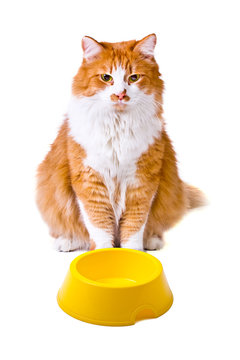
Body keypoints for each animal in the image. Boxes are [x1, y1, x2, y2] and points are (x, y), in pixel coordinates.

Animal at [35, 35, 204, 252]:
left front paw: (134, 253)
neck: (117, 127)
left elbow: (134, 227)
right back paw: (66, 241)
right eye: (106, 78)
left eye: (134, 78)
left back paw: (152, 241)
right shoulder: (90, 181)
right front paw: (102, 253)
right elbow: (99, 226)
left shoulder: (142, 181)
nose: (121, 94)